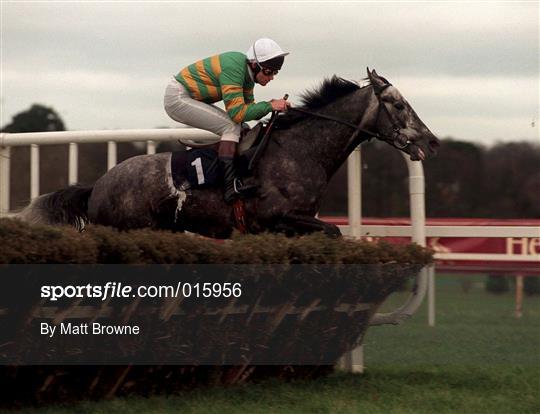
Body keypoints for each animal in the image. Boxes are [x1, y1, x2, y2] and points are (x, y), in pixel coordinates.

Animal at [20, 69, 438, 238]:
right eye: (398, 105)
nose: (432, 141)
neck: (301, 152)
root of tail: (99, 185)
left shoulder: (291, 225)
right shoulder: (278, 218)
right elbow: (333, 231)